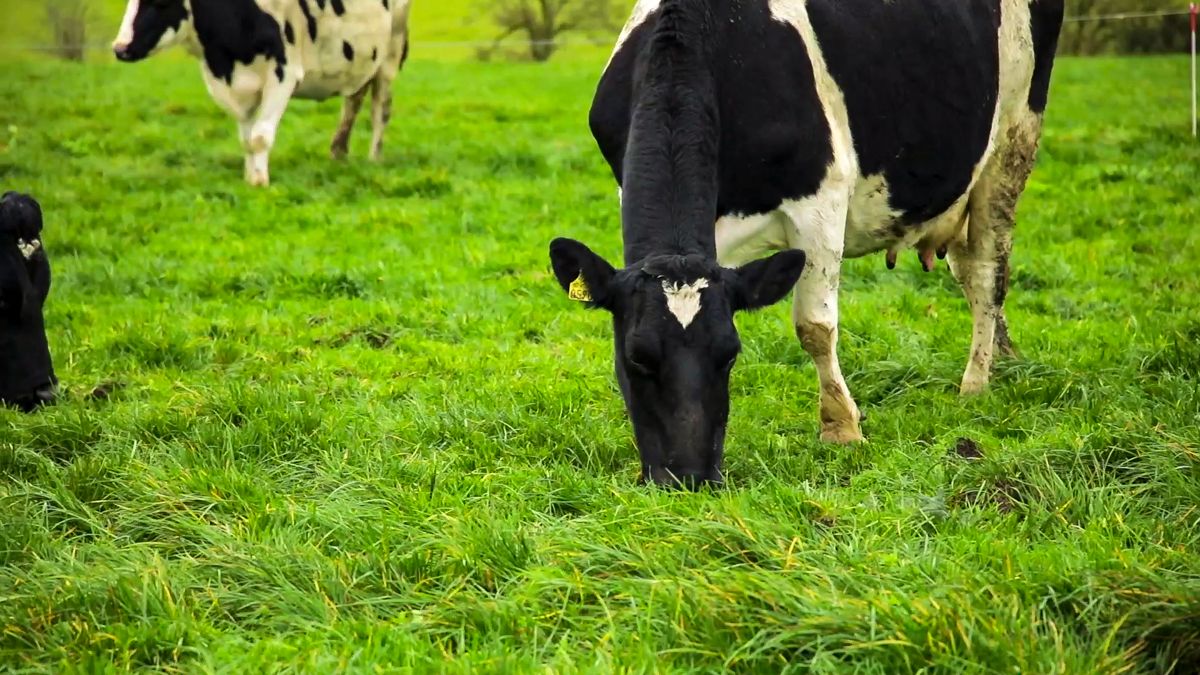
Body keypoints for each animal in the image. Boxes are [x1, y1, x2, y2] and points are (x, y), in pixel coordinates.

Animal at [111, 0, 413, 186]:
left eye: (160, 2)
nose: (119, 48)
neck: (225, 59)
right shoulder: (237, 85)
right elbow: (246, 140)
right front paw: (250, 176)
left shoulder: (283, 73)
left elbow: (259, 137)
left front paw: (260, 182)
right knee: (353, 101)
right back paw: (338, 153)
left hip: (389, 55)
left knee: (380, 110)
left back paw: (374, 159)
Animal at [549, 0, 1063, 488]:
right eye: (637, 355)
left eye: (730, 353)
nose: (690, 477)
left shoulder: (822, 199)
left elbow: (815, 326)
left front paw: (842, 428)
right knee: (970, 271)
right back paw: (1003, 354)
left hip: (1013, 138)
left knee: (987, 273)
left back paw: (975, 383)